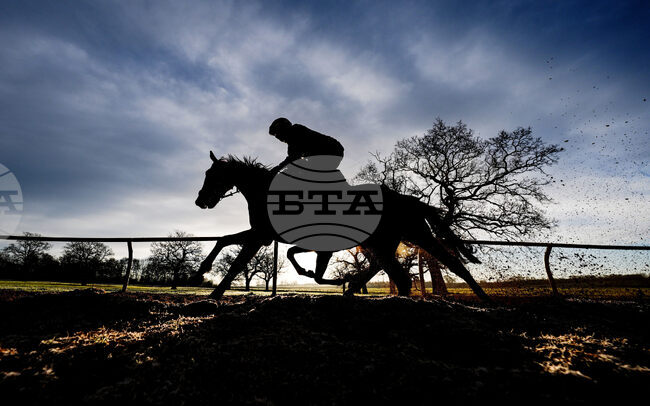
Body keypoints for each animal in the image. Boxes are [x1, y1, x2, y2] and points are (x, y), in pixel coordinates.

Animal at [194, 152, 490, 301]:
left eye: (212, 175)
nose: (200, 201)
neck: (266, 192)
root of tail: (410, 201)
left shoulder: (262, 235)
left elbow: (237, 262)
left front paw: (215, 293)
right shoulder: (265, 235)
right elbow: (223, 239)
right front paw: (202, 271)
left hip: (415, 234)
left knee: (452, 264)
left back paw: (484, 299)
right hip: (382, 242)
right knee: (395, 273)